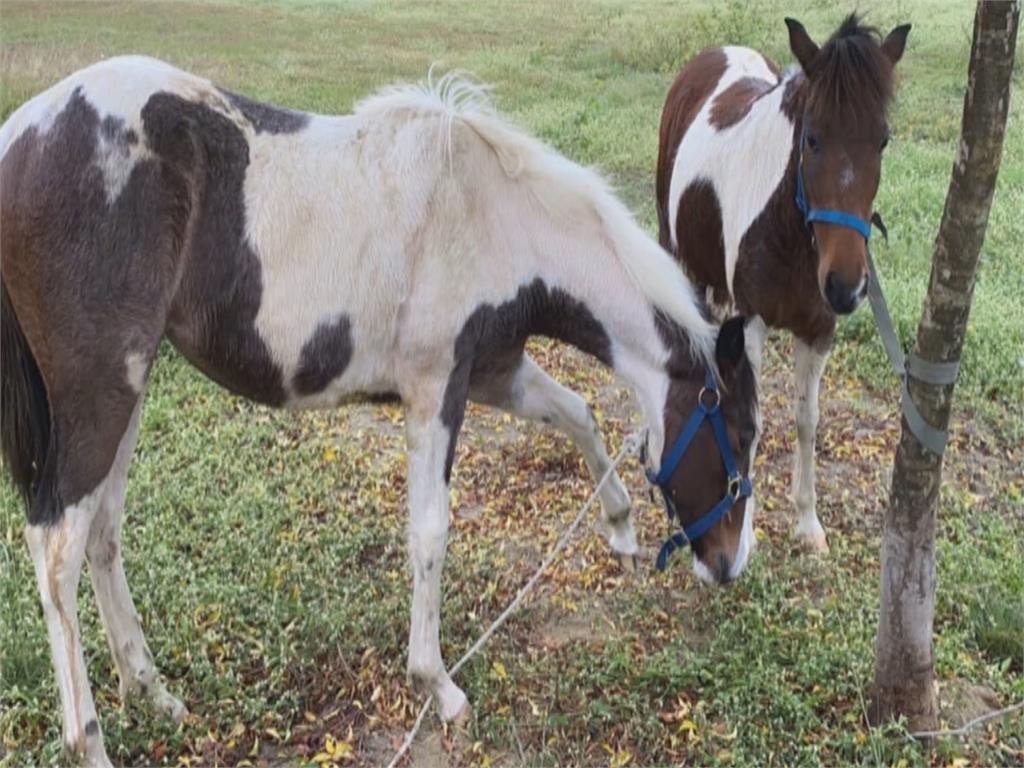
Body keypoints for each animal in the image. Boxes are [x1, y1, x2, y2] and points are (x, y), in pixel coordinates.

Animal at [2, 60, 761, 768]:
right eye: (742, 432)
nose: (729, 565)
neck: (493, 215)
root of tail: (20, 138)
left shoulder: (495, 371)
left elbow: (580, 415)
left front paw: (621, 528)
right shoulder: (436, 389)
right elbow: (430, 532)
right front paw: (438, 685)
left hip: (126, 395)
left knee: (103, 532)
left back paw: (152, 690)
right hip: (100, 394)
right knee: (57, 548)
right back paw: (89, 740)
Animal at [655, 13, 913, 552]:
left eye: (882, 140)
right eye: (812, 139)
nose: (846, 286)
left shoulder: (818, 332)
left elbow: (806, 420)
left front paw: (807, 521)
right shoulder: (751, 320)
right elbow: (750, 421)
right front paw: (745, 528)